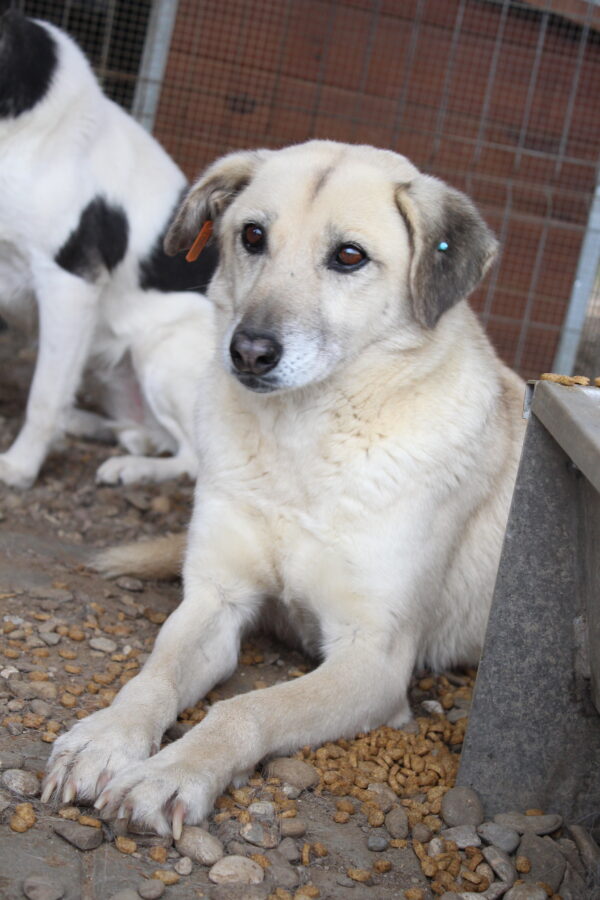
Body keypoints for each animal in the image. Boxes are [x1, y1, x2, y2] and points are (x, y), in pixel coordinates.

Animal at [0, 8, 216, 486]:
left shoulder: (69, 281)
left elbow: (43, 397)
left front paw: (20, 468)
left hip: (162, 353)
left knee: (195, 459)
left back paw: (132, 468)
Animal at [43, 141, 524, 836]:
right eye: (252, 236)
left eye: (349, 255)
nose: (247, 351)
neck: (302, 446)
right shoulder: (215, 601)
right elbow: (152, 680)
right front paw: (104, 740)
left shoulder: (373, 661)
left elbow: (247, 709)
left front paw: (170, 773)